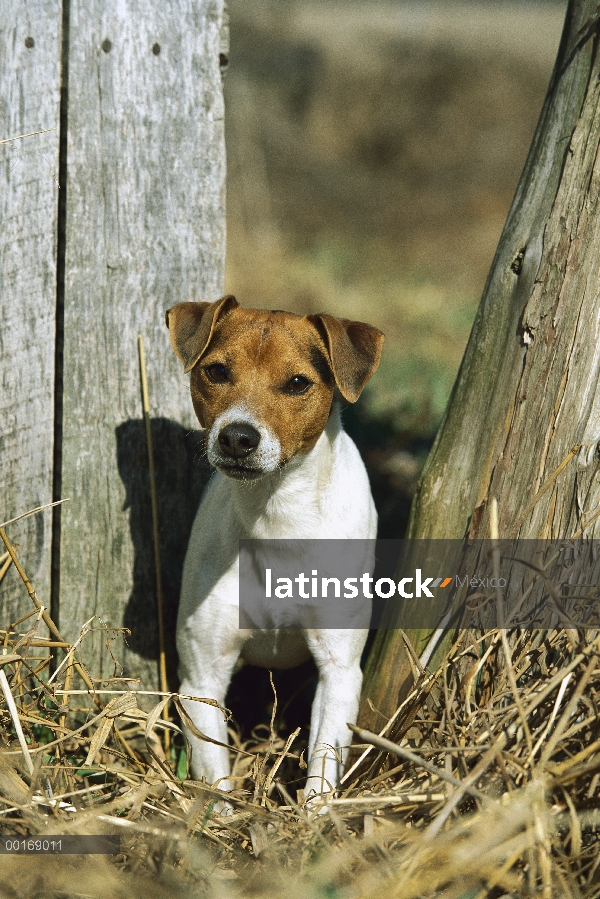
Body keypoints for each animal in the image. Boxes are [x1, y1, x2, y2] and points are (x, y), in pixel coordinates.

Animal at [166, 298, 382, 804]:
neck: (278, 517)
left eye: (298, 382)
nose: (237, 437)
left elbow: (322, 767)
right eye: (217, 371)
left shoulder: (340, 671)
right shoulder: (201, 677)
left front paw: (314, 819)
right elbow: (214, 774)